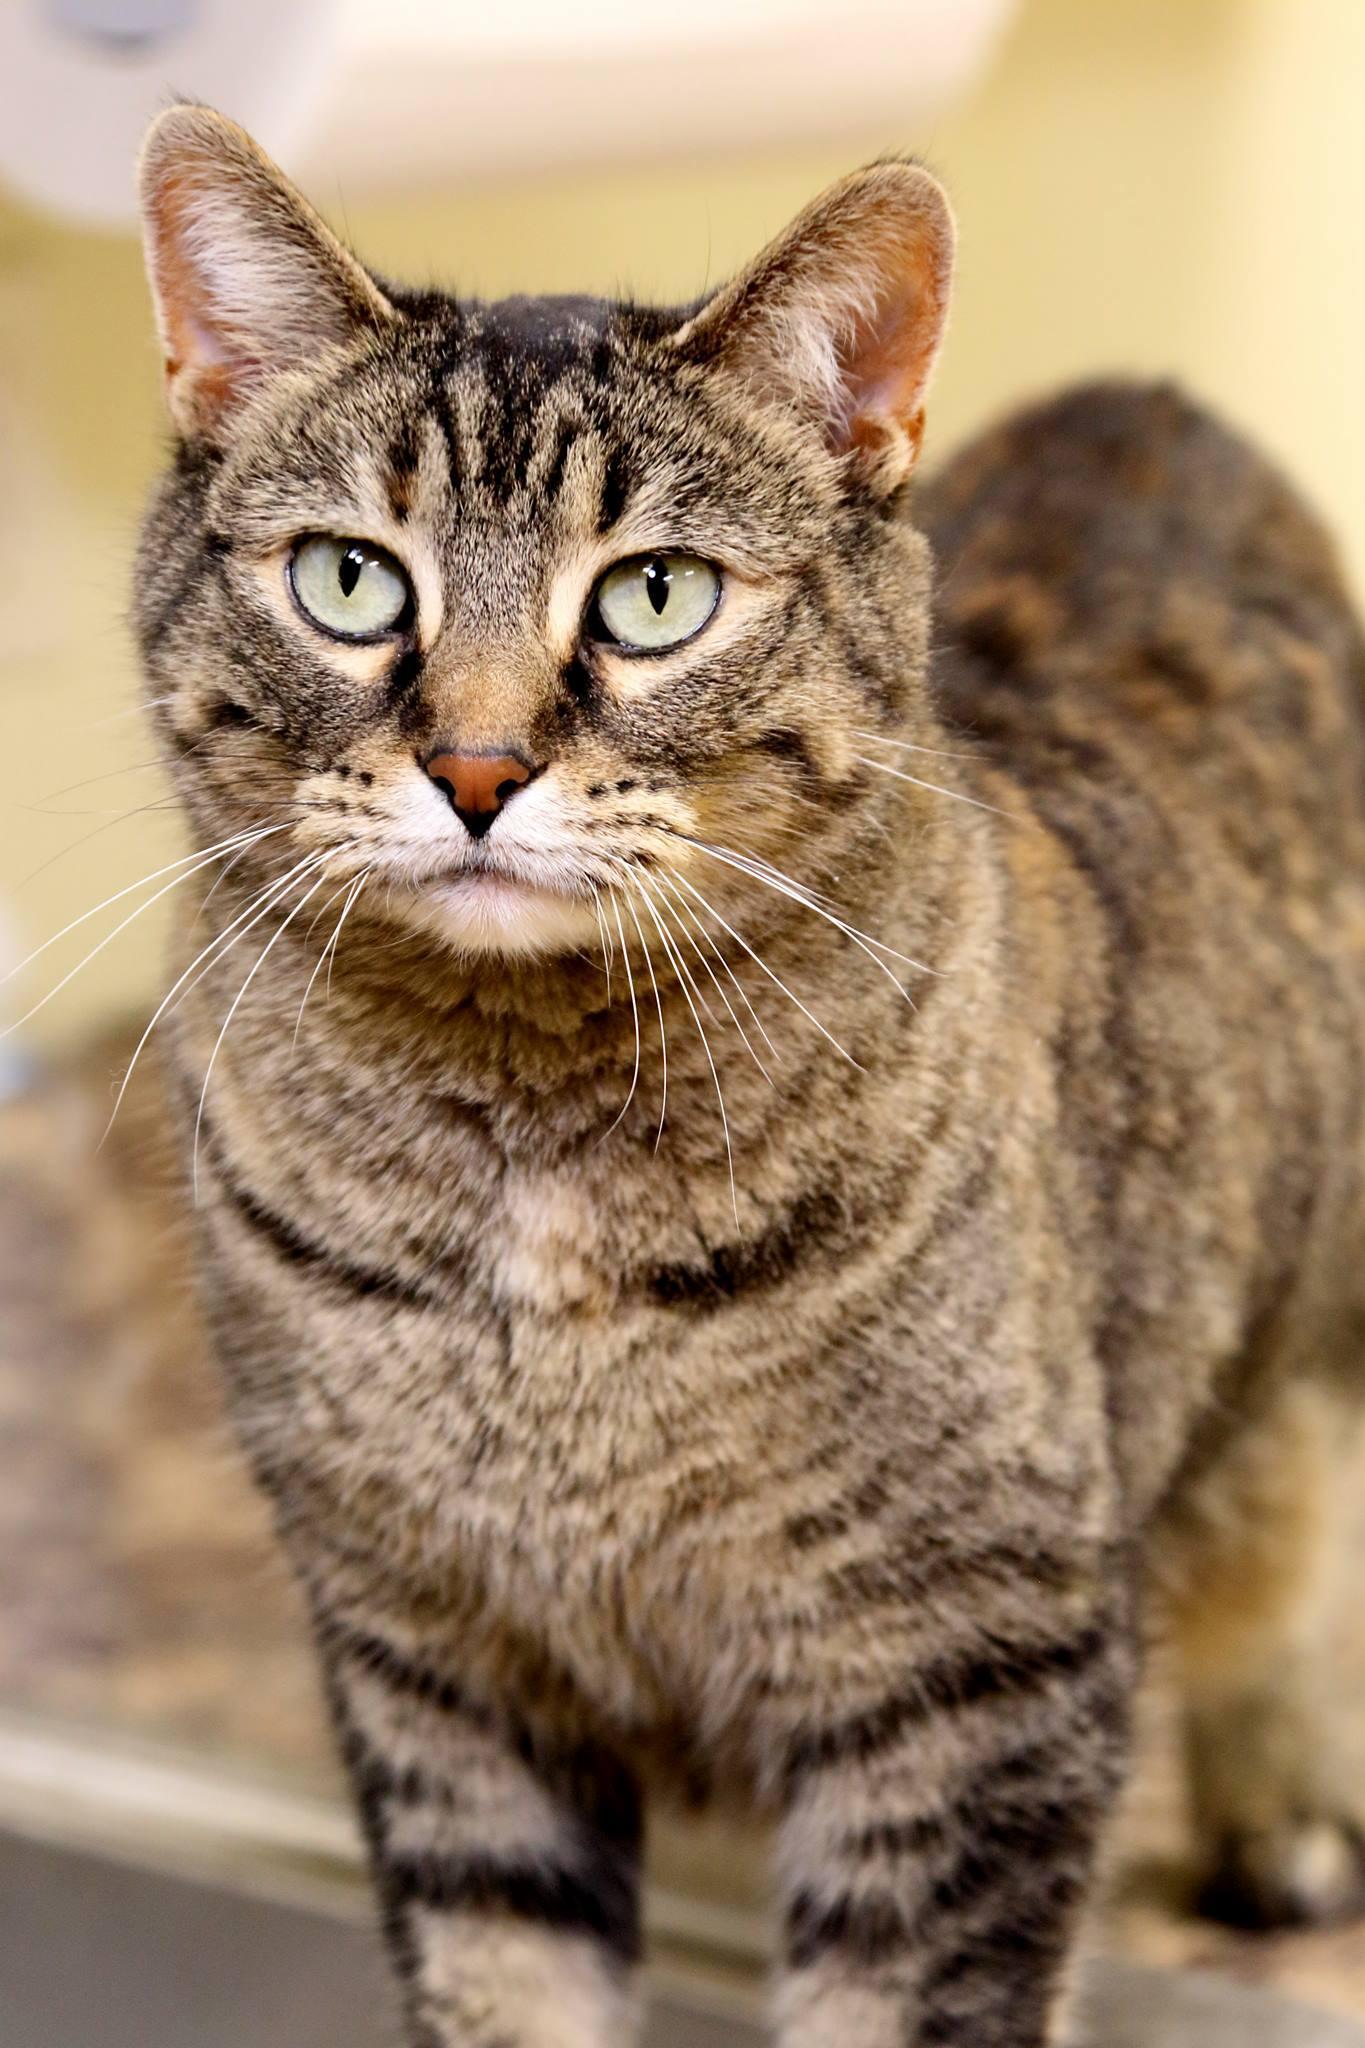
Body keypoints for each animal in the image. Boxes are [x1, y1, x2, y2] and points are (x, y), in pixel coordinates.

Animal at [130, 108, 1365, 2048]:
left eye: (655, 595)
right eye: (349, 578)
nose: (475, 768)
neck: (530, 1147)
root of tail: (1152, 401)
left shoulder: (969, 1677)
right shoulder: (440, 1672)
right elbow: (508, 1990)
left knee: (1290, 1524)